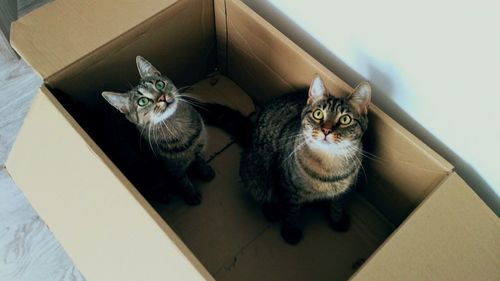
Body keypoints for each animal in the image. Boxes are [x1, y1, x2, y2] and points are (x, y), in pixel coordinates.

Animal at [103, 55, 223, 205]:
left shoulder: (198, 148)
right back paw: (163, 195)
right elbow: (183, 183)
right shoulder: (173, 171)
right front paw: (192, 195)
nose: (162, 97)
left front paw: (205, 171)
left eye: (159, 84)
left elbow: (200, 162)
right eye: (142, 101)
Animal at [238, 75, 372, 243]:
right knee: (263, 191)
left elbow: (337, 205)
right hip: (257, 175)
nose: (326, 130)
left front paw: (337, 220)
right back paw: (271, 210)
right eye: (318, 114)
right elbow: (291, 212)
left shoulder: (344, 190)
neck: (328, 164)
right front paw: (291, 232)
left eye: (345, 119)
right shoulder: (288, 188)